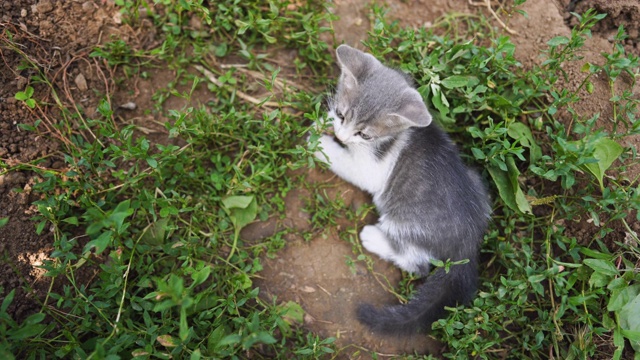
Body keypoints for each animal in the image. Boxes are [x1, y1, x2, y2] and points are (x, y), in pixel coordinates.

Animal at [310, 45, 490, 334]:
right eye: (341, 114)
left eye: (365, 135)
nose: (341, 136)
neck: (394, 136)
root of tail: (469, 243)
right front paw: (321, 122)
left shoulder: (370, 169)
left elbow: (346, 163)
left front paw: (321, 145)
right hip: (477, 181)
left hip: (406, 221)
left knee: (417, 264)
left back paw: (373, 237)